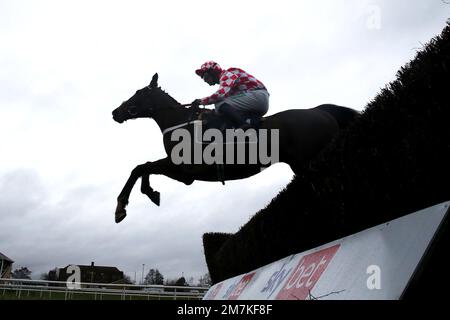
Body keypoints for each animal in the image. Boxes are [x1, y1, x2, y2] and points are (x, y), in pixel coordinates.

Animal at [113, 73, 362, 222]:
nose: (116, 112)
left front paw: (122, 207)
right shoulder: (184, 174)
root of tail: (321, 110)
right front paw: (150, 192)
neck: (182, 123)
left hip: (312, 161)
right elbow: (144, 166)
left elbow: (141, 167)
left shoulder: (186, 169)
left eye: (139, 93)